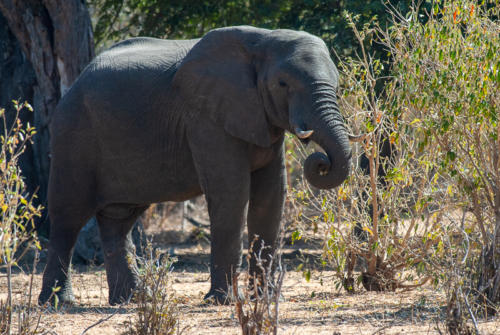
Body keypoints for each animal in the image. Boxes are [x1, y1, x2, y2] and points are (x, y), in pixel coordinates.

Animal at [39, 25, 352, 306]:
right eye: (283, 84)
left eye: (337, 85)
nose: (321, 161)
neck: (263, 39)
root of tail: (76, 81)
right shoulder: (206, 117)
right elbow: (232, 194)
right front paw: (225, 302)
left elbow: (271, 198)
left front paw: (269, 300)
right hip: (73, 133)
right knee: (68, 217)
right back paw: (59, 303)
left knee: (119, 219)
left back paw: (133, 300)